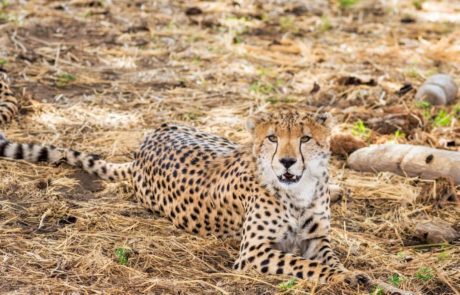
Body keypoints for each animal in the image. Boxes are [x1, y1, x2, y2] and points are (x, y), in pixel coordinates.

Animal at [0, 75, 370, 290]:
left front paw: (350, 273)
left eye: (305, 138)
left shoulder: (316, 237)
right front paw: (340, 277)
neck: (299, 193)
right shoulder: (253, 253)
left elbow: (328, 257)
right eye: (273, 138)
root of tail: (143, 147)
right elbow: (305, 264)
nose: (288, 161)